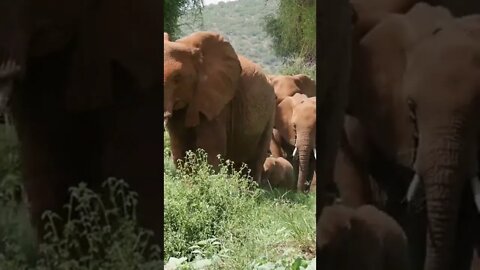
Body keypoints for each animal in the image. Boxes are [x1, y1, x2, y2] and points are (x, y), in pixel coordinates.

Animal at [163, 31, 276, 184]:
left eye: (177, 78)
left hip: (270, 113)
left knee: (255, 161)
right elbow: (179, 147)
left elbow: (211, 148)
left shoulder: (219, 104)